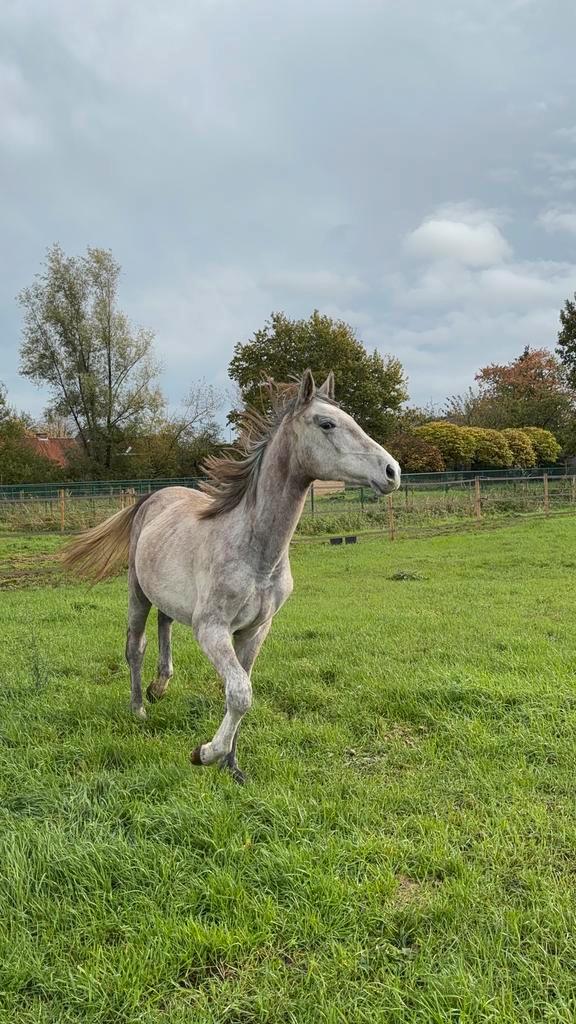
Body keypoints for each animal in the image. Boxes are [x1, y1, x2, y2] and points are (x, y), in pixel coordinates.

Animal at [62, 370, 401, 782]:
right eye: (327, 424)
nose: (392, 472)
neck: (257, 553)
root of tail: (152, 498)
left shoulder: (255, 630)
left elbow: (242, 688)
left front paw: (233, 767)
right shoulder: (211, 629)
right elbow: (240, 692)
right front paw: (204, 753)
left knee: (164, 625)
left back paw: (160, 687)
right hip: (137, 593)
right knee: (135, 647)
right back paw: (140, 707)